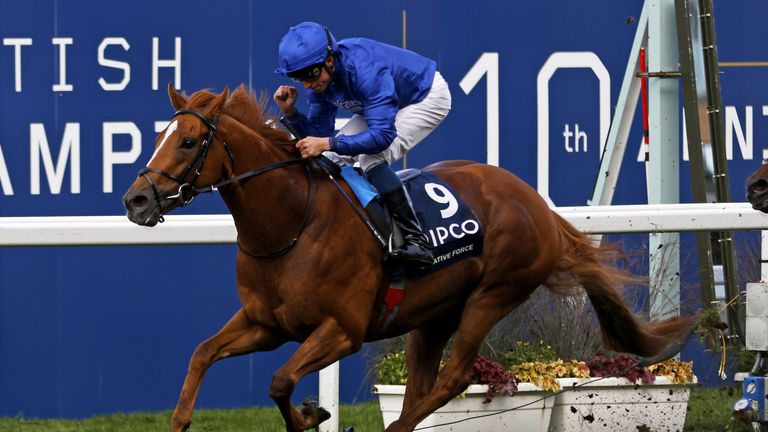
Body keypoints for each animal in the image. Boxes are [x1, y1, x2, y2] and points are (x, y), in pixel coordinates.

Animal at [123, 85, 700, 432]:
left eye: (189, 142)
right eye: (159, 137)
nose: (137, 200)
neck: (292, 225)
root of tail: (537, 205)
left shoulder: (342, 330)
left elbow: (280, 382)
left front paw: (311, 415)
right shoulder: (266, 323)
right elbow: (201, 355)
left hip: (493, 294)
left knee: (455, 377)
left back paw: (398, 428)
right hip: (432, 314)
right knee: (424, 383)